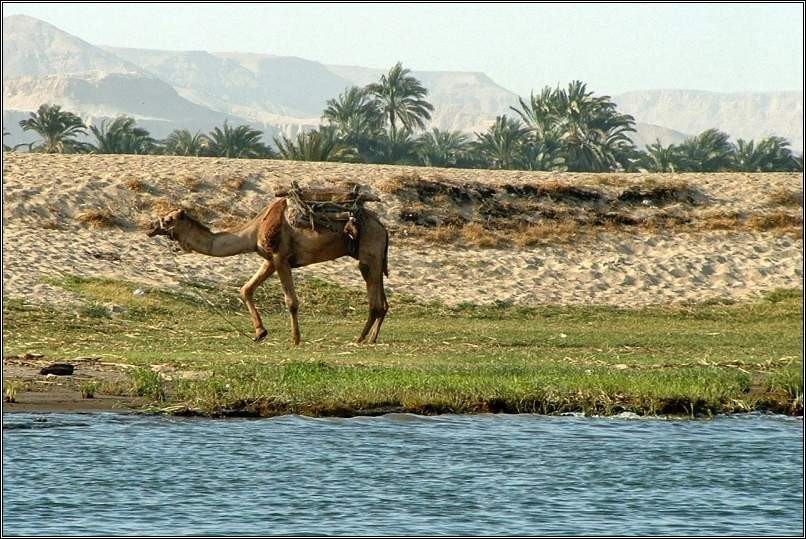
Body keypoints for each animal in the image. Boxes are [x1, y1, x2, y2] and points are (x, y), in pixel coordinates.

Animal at [150, 194, 392, 346]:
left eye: (169, 219)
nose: (151, 227)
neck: (254, 230)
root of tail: (383, 227)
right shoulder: (269, 260)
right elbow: (246, 289)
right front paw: (260, 333)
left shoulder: (280, 257)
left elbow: (291, 302)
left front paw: (295, 340)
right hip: (377, 256)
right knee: (383, 303)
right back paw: (371, 338)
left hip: (368, 252)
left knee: (374, 302)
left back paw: (359, 339)